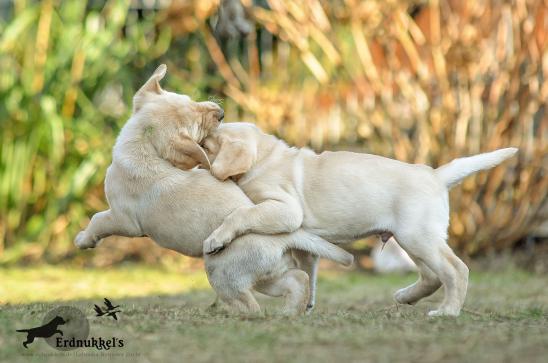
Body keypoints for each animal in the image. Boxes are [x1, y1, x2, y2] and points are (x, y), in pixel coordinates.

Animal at [75, 65, 354, 316]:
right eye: (196, 117)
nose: (220, 112)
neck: (144, 146)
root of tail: (287, 236)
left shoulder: (123, 219)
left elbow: (98, 219)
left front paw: (83, 240)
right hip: (267, 274)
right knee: (297, 280)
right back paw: (287, 314)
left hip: (223, 273)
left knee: (251, 306)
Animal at [196, 122, 520, 316]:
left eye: (208, 144)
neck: (263, 159)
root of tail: (435, 175)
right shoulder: (305, 244)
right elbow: (309, 270)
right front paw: (307, 303)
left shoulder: (285, 210)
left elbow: (242, 212)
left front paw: (216, 239)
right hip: (415, 239)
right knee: (431, 276)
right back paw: (406, 297)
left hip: (418, 237)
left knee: (456, 270)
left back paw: (448, 311)